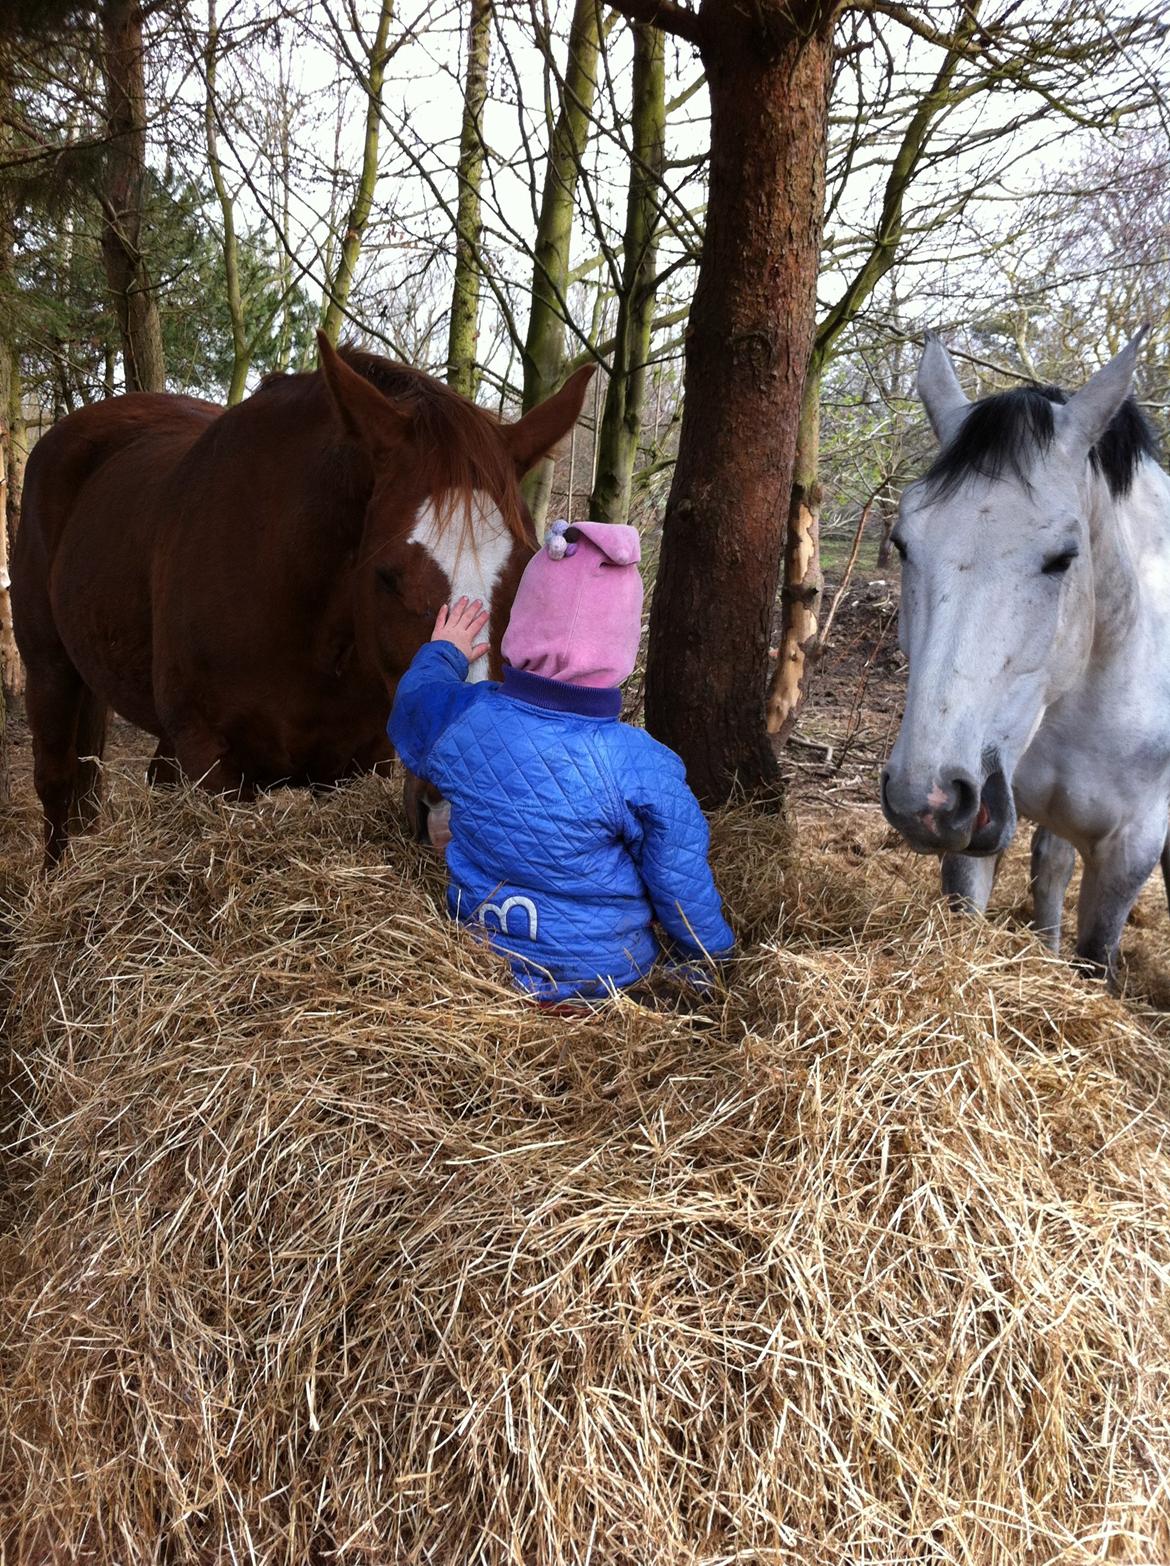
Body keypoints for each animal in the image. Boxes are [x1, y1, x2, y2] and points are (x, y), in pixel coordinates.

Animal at [12, 330, 588, 864]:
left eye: (526, 568)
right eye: (387, 577)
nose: (458, 811)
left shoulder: (361, 761)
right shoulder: (209, 760)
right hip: (50, 669)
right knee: (58, 784)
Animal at [883, 331, 1165, 983]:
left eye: (1063, 557)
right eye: (902, 544)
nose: (925, 800)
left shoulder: (1132, 849)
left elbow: (1098, 957)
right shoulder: (978, 830)